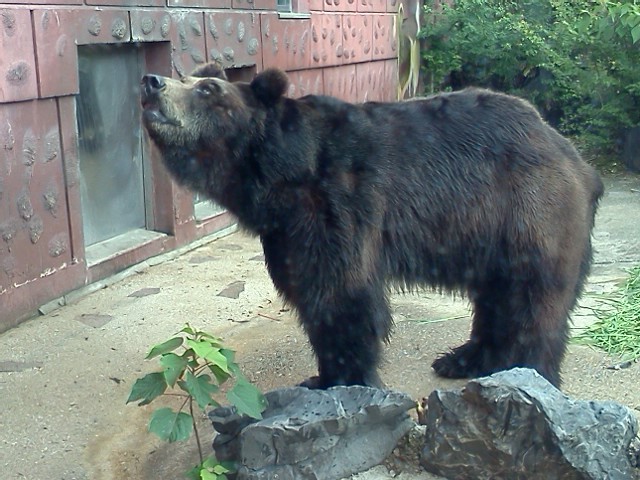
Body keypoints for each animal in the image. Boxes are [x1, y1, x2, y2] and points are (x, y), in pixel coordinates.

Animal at [141, 63, 604, 388]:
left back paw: (529, 370)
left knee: (531, 296)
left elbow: (340, 291)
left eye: (206, 89)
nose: (151, 82)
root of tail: (574, 157)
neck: (277, 176)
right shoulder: (285, 230)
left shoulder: (336, 202)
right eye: (186, 76)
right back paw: (463, 358)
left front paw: (340, 377)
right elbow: (304, 285)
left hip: (529, 209)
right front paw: (321, 375)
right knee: (495, 297)